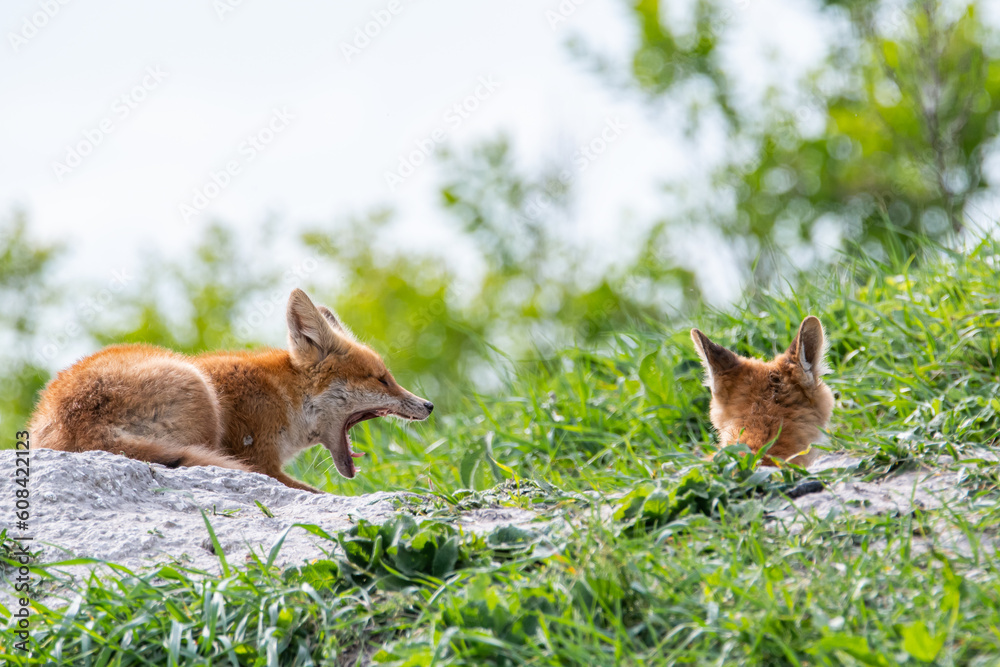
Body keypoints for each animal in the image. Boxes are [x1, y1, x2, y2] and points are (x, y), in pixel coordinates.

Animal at [28, 289, 434, 493]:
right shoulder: (259, 460)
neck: (283, 395)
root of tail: (72, 422)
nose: (429, 405)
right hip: (198, 389)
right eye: (381, 378)